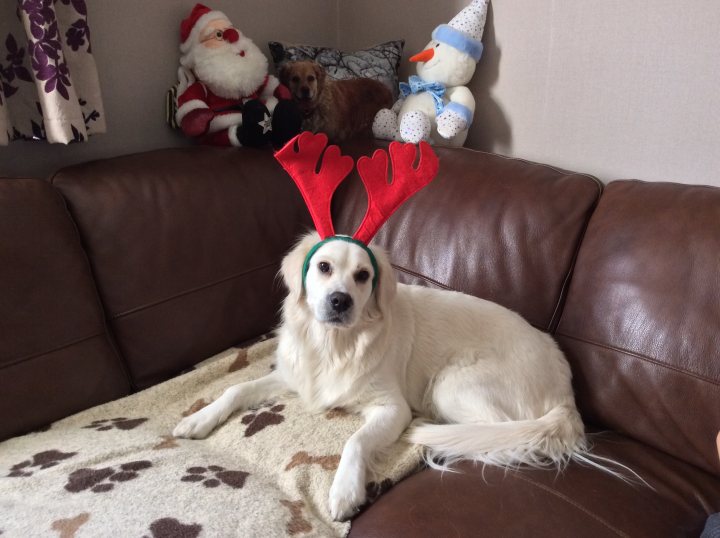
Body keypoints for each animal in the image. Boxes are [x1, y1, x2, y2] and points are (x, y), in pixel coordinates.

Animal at [174, 230, 592, 520]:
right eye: (323, 267)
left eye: (362, 275)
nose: (339, 301)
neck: (334, 344)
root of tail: (566, 392)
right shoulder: (295, 376)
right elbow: (235, 388)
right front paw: (197, 419)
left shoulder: (391, 407)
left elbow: (356, 441)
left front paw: (344, 490)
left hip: (451, 384)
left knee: (497, 436)